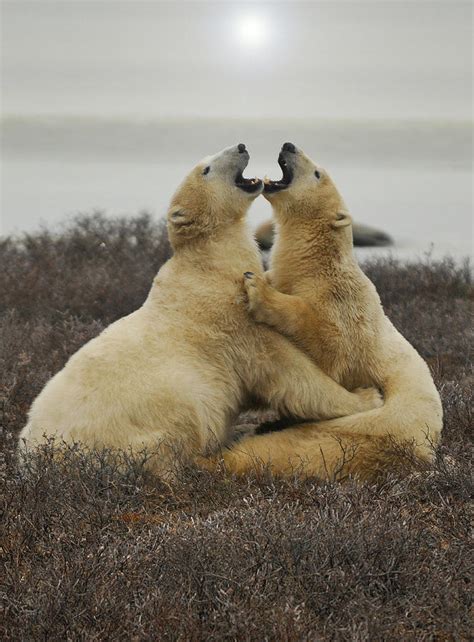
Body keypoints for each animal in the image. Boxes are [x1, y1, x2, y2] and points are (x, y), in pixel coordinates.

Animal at [19, 145, 382, 476]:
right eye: (206, 168)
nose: (241, 146)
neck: (209, 265)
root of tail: (33, 459)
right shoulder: (232, 318)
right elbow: (287, 372)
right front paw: (367, 396)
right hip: (148, 426)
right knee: (175, 437)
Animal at [213, 142, 442, 478]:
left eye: (318, 173)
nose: (289, 145)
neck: (317, 267)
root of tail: (425, 452)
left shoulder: (344, 304)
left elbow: (331, 346)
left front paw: (258, 288)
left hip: (363, 430)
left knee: (292, 448)